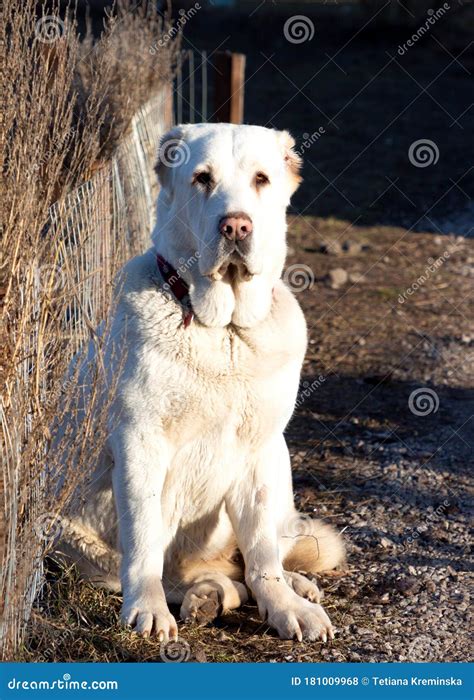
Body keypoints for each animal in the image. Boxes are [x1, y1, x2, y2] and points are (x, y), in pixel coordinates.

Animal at [57, 123, 344, 644]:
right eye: (202, 179)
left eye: (260, 179)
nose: (236, 227)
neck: (224, 329)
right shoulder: (140, 442)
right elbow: (145, 541)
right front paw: (148, 609)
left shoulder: (260, 450)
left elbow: (262, 552)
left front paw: (285, 605)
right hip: (72, 538)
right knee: (194, 576)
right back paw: (206, 597)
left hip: (281, 464)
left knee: (259, 557)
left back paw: (290, 586)